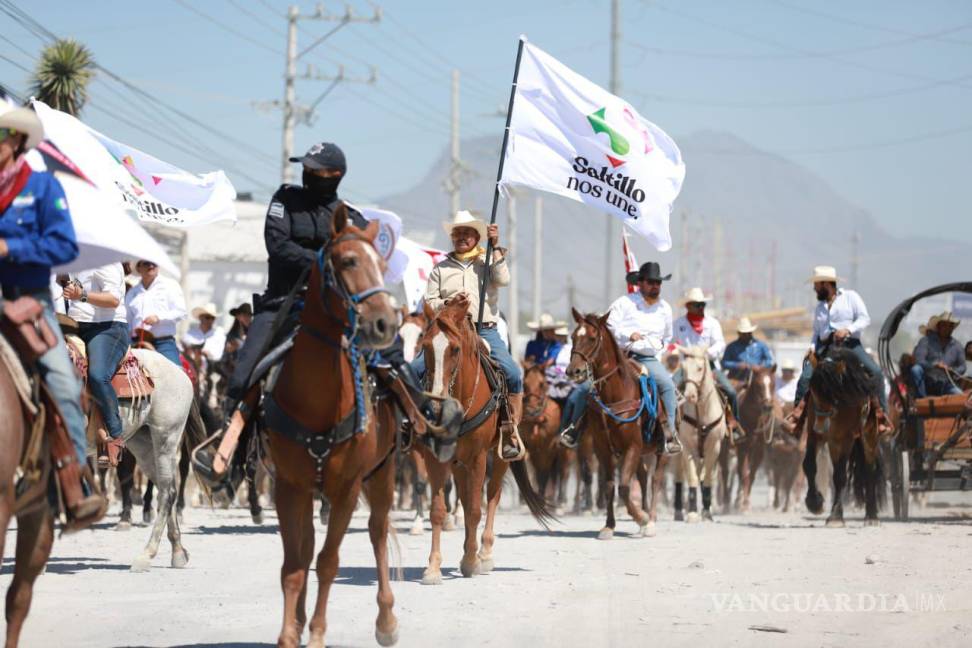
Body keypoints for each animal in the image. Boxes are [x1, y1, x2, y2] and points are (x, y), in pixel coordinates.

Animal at [260, 208, 400, 648]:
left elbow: (328, 562)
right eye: (349, 261)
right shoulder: (289, 486)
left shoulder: (347, 488)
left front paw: (317, 634)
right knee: (305, 545)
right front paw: (289, 634)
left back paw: (386, 621)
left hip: (382, 476)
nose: (384, 324)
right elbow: (294, 564)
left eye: (383, 266)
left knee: (376, 533)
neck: (317, 401)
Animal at [418, 294, 556, 584]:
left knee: (492, 496)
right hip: (459, 463)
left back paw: (485, 553)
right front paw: (433, 568)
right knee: (465, 496)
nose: (435, 406)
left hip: (500, 456)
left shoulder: (479, 457)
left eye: (455, 349)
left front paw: (472, 561)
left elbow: (474, 510)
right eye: (425, 346)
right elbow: (438, 510)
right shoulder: (436, 458)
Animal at [564, 308, 672, 536]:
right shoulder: (603, 448)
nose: (573, 371)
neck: (614, 396)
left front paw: (641, 518)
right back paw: (645, 515)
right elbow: (610, 486)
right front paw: (609, 526)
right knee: (643, 476)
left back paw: (651, 520)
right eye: (573, 336)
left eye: (592, 338)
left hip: (661, 451)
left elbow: (623, 487)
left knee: (655, 480)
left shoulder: (632, 446)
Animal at [676, 344, 728, 520]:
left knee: (706, 475)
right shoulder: (687, 448)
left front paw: (706, 511)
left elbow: (707, 479)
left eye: (700, 368)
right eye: (683, 368)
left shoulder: (714, 448)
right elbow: (692, 478)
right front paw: (692, 513)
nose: (690, 395)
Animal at [800, 350, 884, 528]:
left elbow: (839, 476)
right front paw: (814, 503)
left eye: (833, 395)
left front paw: (835, 517)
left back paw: (872, 517)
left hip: (868, 436)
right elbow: (809, 465)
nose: (821, 427)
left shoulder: (845, 439)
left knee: (870, 472)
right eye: (813, 391)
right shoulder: (814, 434)